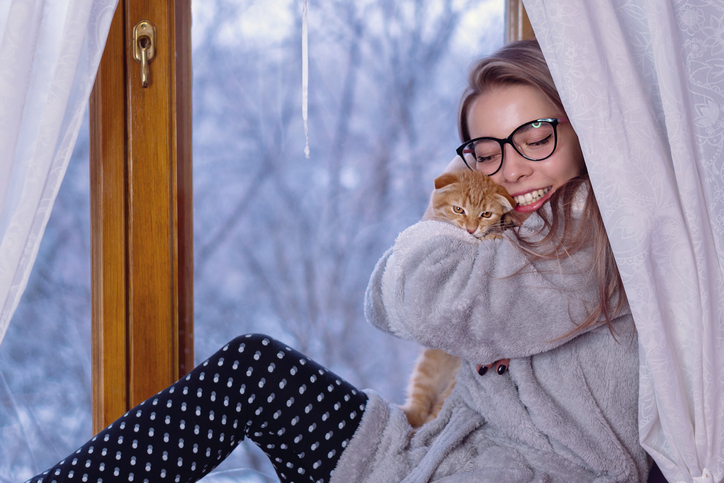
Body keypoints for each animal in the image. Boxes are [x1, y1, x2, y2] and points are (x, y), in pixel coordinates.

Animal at [402, 170, 516, 428]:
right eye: (458, 209)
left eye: (486, 214)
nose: (471, 229)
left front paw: (492, 236)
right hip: (428, 364)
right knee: (421, 404)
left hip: (453, 381)